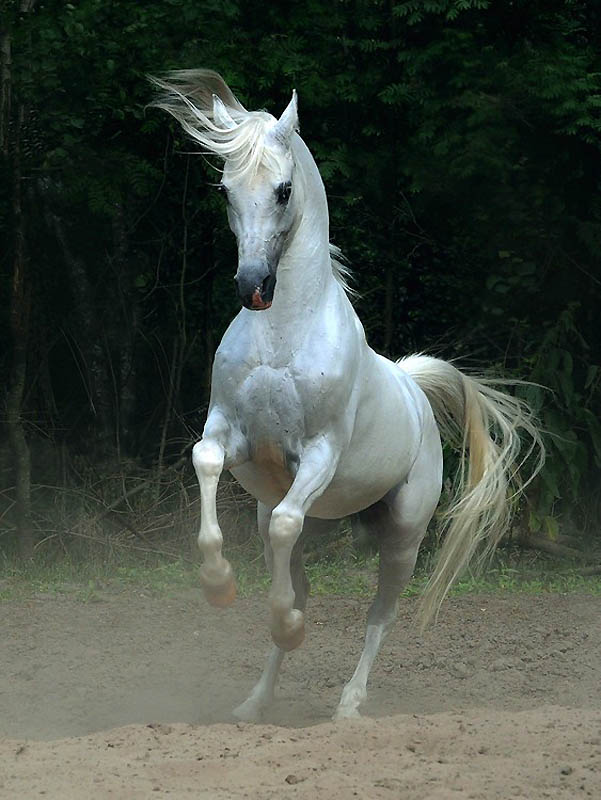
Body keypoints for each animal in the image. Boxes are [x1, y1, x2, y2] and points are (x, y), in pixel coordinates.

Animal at [151, 72, 544, 720]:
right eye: (226, 189)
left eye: (283, 189)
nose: (252, 286)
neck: (284, 333)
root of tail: (413, 388)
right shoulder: (229, 432)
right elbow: (207, 464)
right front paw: (219, 585)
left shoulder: (319, 453)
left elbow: (290, 534)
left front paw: (286, 625)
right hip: (306, 517)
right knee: (297, 571)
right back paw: (255, 702)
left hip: (403, 538)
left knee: (379, 615)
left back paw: (348, 705)